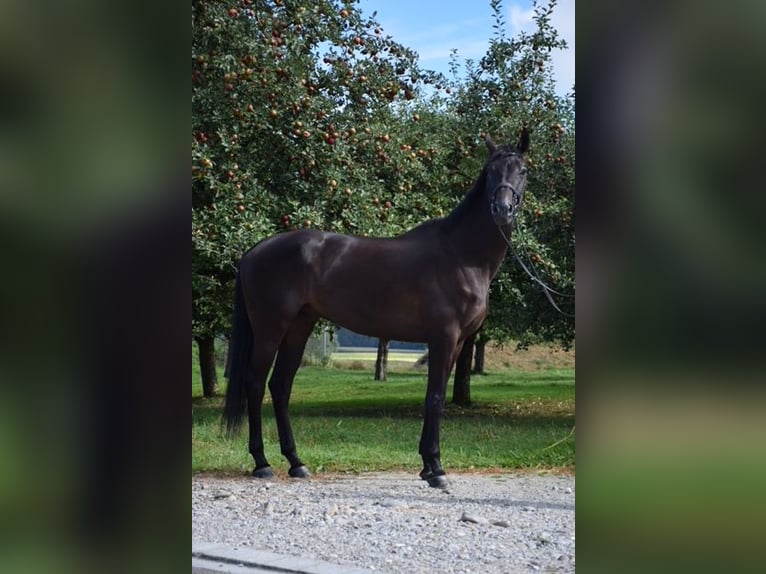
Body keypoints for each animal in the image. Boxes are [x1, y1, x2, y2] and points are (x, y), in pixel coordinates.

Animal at [225, 130, 532, 490]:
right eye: (491, 171)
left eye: (522, 171)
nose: (503, 209)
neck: (462, 254)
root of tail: (253, 251)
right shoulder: (443, 337)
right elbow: (435, 398)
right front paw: (436, 469)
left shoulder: (457, 343)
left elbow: (437, 396)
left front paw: (427, 466)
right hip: (270, 328)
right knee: (256, 383)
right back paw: (261, 463)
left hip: (299, 326)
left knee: (280, 386)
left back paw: (296, 463)